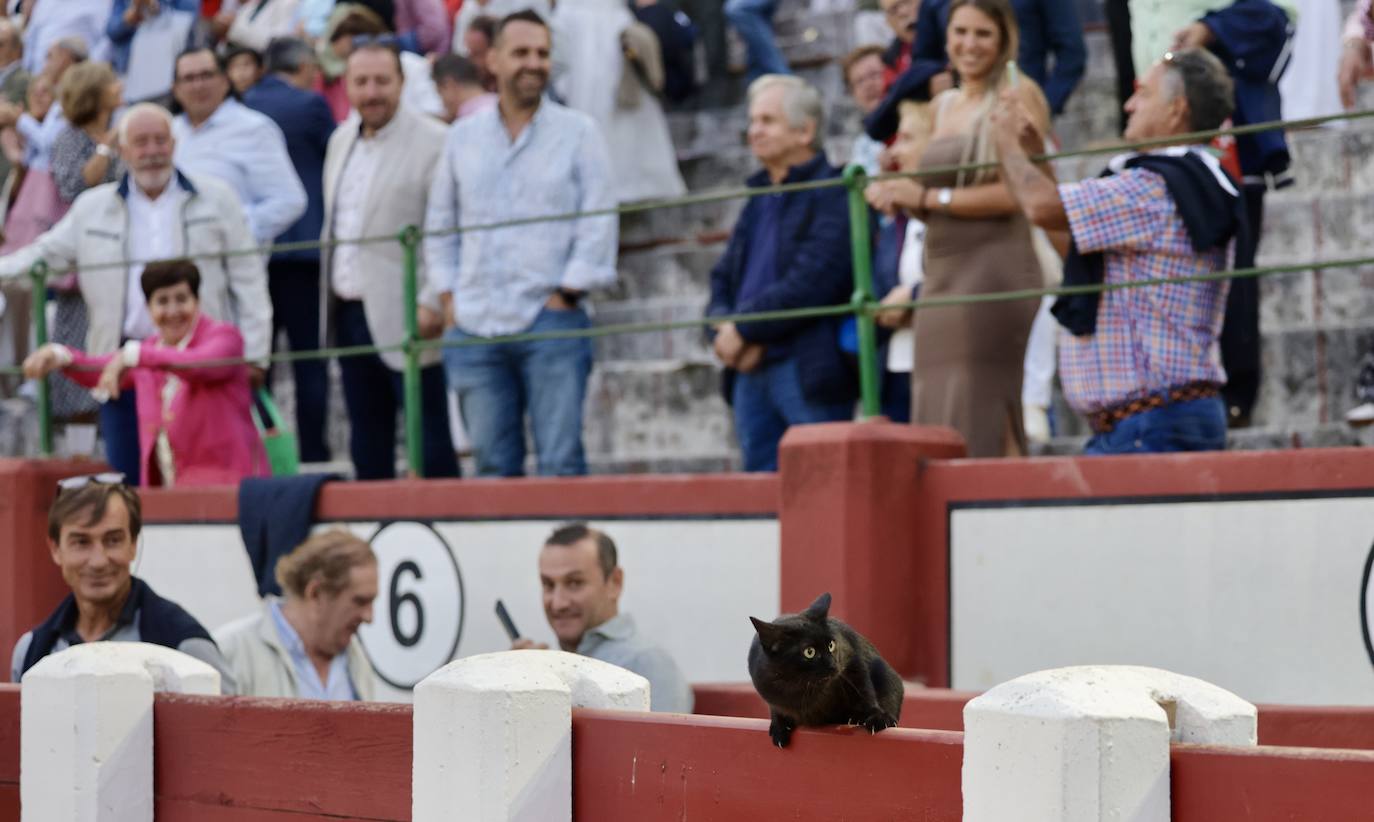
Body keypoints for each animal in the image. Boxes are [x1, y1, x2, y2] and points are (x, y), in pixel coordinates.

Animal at [747, 596, 906, 753]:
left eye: (831, 645)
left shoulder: (852, 661)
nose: (833, 665)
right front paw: (779, 727)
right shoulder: (770, 694)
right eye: (809, 652)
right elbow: (776, 710)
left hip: (883, 672)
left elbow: (864, 692)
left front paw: (877, 717)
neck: (802, 688)